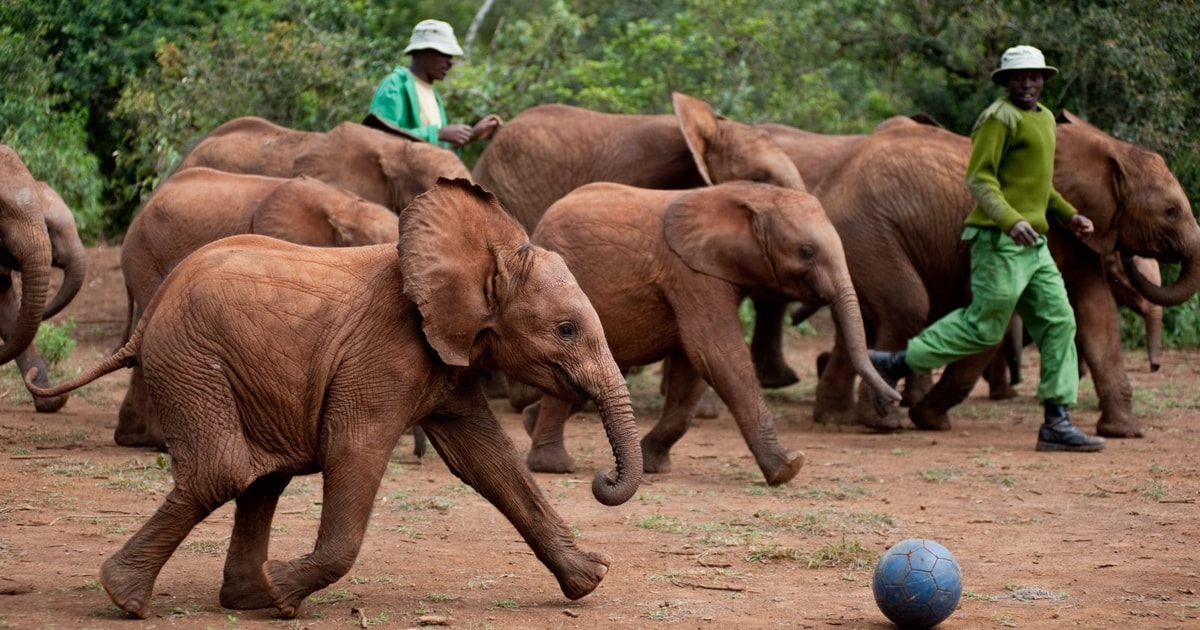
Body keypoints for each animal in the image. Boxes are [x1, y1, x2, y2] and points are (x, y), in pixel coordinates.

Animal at [525, 181, 900, 486]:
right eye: (805, 252)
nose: (893, 401)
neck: (751, 195)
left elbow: (692, 367)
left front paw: (653, 465)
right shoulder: (692, 274)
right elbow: (716, 355)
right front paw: (787, 468)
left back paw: (530, 424)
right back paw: (553, 466)